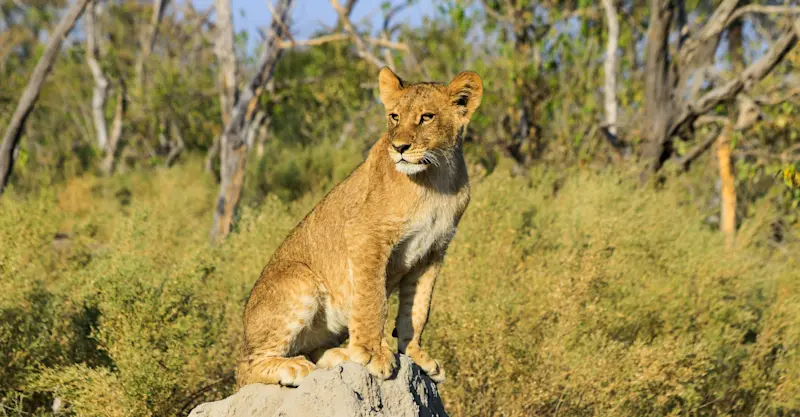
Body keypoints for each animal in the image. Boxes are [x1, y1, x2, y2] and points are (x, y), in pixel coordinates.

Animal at [236, 67, 483, 388]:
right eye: (394, 116)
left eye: (427, 117)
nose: (399, 147)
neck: (437, 176)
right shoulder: (366, 235)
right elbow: (372, 299)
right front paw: (371, 353)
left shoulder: (433, 253)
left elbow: (417, 310)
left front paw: (416, 356)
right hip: (300, 281)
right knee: (245, 368)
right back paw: (293, 367)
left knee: (311, 348)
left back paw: (339, 356)